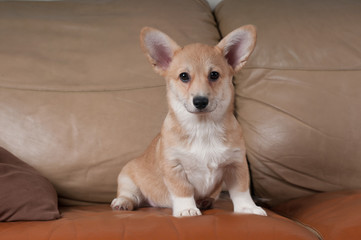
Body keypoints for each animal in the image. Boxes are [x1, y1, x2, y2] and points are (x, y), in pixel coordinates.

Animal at [111, 24, 266, 218]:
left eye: (214, 75)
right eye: (184, 76)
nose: (200, 101)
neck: (203, 126)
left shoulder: (236, 164)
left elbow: (241, 191)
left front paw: (248, 208)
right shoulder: (175, 167)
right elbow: (183, 190)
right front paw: (187, 209)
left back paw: (205, 201)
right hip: (127, 178)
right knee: (131, 196)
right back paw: (122, 203)